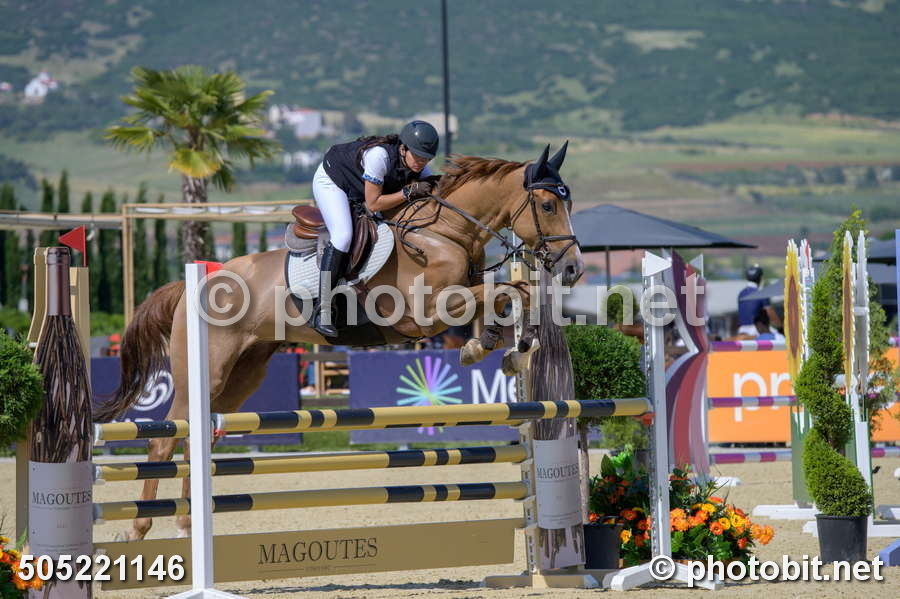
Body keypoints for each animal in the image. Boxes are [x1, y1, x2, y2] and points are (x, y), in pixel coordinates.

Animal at [96, 143, 583, 540]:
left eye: (568, 201)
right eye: (546, 204)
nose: (574, 268)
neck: (443, 231)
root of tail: (189, 283)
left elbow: (508, 296)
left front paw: (507, 347)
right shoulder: (425, 314)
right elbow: (506, 292)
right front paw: (493, 346)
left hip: (242, 376)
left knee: (199, 436)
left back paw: (184, 520)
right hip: (205, 371)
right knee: (164, 439)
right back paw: (141, 527)